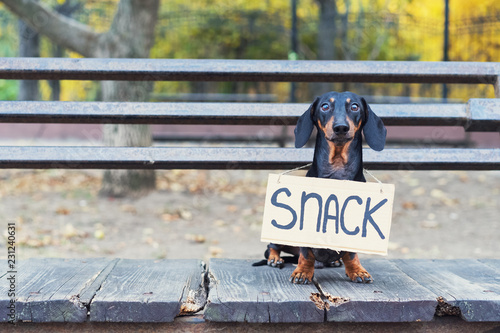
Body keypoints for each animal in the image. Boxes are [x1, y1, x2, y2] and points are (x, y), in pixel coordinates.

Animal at [266, 91, 386, 282]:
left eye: (354, 106)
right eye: (324, 106)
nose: (341, 128)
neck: (336, 170)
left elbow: (351, 253)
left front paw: (356, 269)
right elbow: (306, 253)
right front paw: (303, 271)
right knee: (273, 246)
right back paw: (275, 258)